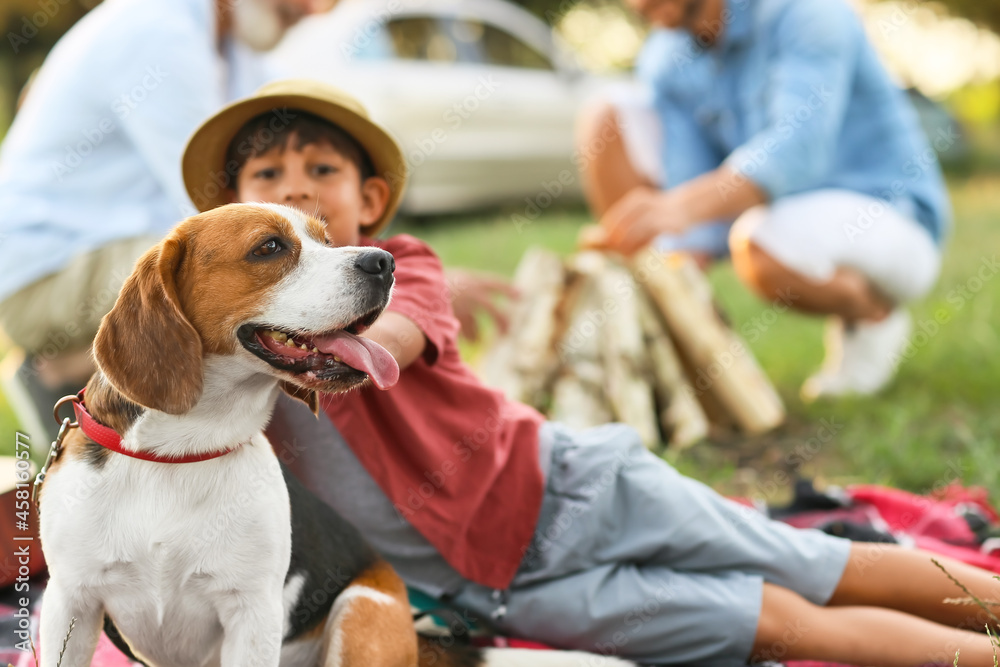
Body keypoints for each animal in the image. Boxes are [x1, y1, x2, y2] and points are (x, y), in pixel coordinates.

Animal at [39, 204, 632, 667]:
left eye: (326, 241)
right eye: (269, 247)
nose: (383, 262)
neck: (178, 455)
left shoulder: (252, 614)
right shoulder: (70, 604)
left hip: (362, 612)